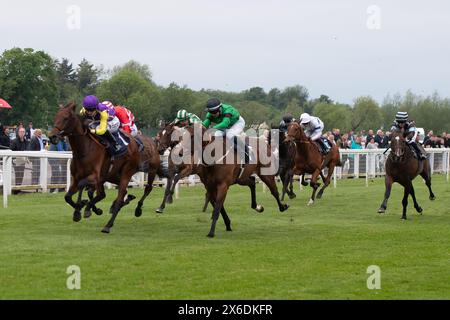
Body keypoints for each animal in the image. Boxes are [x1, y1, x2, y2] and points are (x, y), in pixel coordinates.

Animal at [48, 102, 162, 232]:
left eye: (66, 118)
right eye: (56, 116)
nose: (52, 136)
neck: (84, 151)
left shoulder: (95, 177)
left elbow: (84, 186)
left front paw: (80, 208)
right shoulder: (76, 178)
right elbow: (67, 197)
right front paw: (81, 209)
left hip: (133, 172)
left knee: (132, 193)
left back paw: (110, 224)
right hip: (112, 175)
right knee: (110, 194)